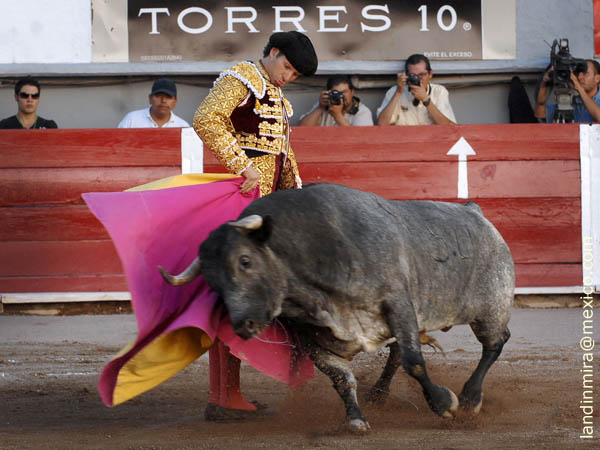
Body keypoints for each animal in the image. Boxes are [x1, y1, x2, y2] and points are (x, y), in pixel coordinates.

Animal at [158, 183, 510, 432]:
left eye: (245, 260)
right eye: (212, 283)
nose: (243, 325)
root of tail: (475, 211)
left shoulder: (397, 304)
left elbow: (415, 363)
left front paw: (444, 403)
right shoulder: (314, 338)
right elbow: (341, 378)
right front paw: (355, 419)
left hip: (491, 308)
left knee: (495, 343)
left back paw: (470, 398)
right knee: (397, 354)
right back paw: (378, 395)